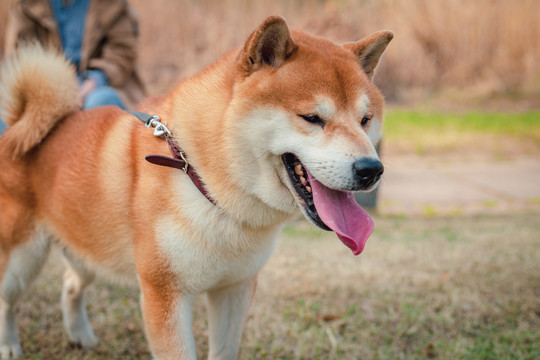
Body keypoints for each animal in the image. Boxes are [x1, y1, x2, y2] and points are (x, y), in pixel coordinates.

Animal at [0, 15, 392, 358]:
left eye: (365, 119)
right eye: (312, 118)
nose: (371, 170)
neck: (207, 186)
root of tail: (19, 125)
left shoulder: (235, 288)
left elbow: (224, 350)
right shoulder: (164, 293)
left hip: (89, 253)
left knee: (70, 283)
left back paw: (80, 335)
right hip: (23, 260)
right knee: (7, 298)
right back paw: (9, 346)